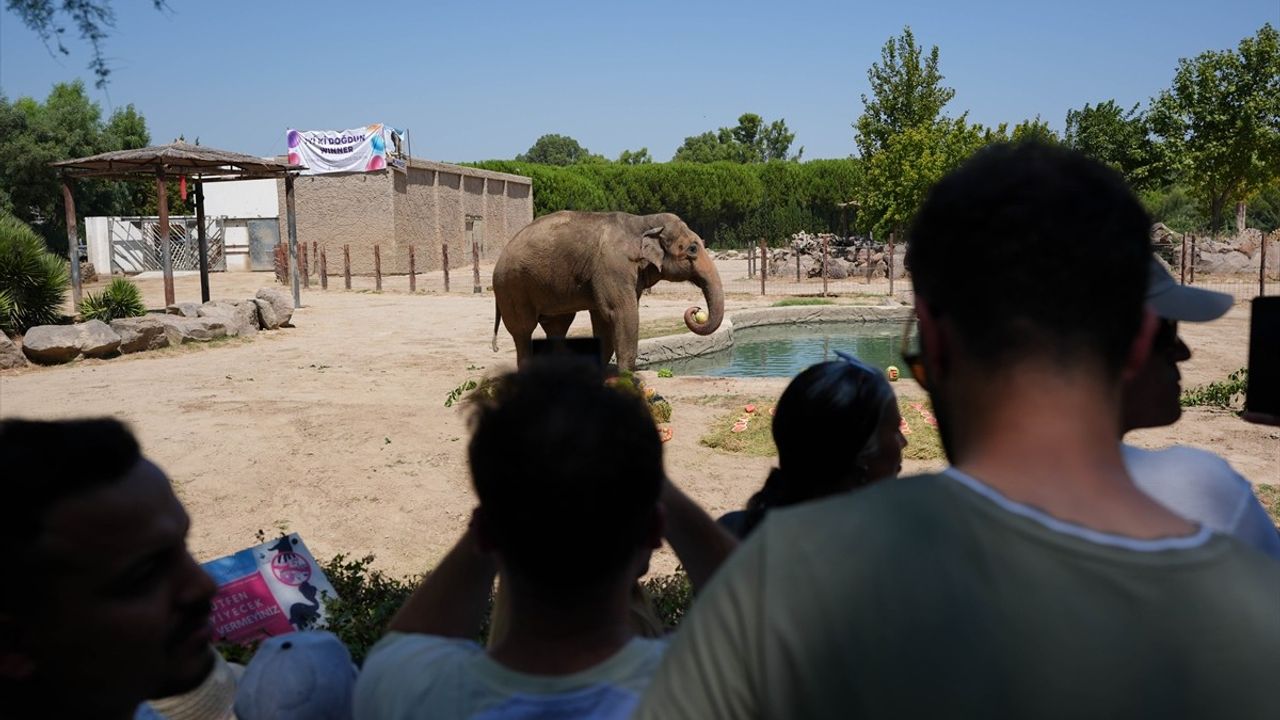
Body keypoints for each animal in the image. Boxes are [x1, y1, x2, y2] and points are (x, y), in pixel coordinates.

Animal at [494, 210, 727, 368]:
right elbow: (621, 314)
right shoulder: (613, 267)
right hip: (513, 287)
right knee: (523, 330)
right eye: (693, 249)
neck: (644, 221)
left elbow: (603, 320)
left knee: (557, 325)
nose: (696, 310)